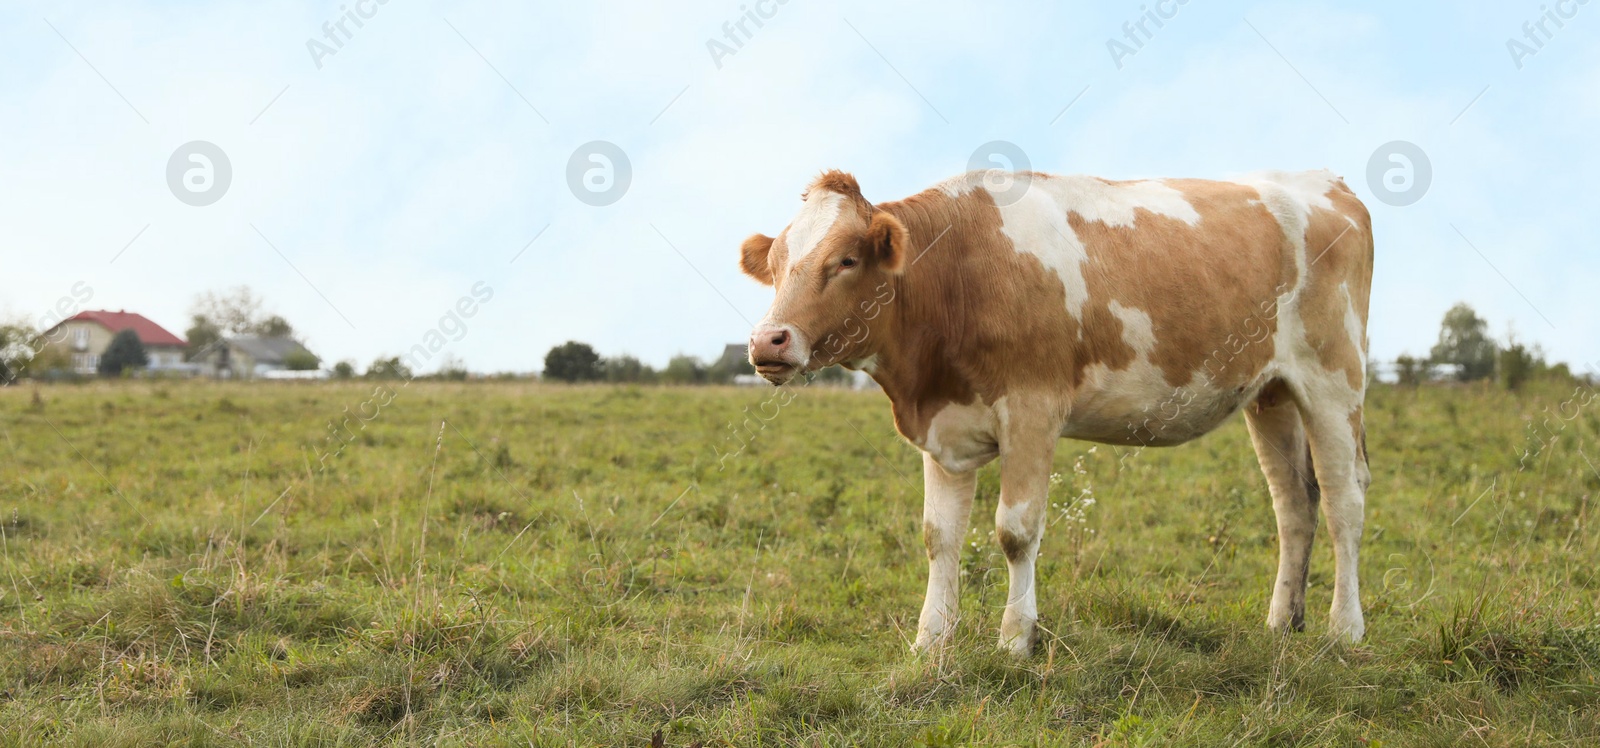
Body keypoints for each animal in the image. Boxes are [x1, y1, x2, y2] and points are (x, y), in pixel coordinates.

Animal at [736, 165, 1376, 655]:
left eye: (846, 259)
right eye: (777, 263)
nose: (769, 340)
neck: (957, 271)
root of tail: (1327, 182)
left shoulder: (1033, 410)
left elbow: (1015, 532)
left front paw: (1016, 639)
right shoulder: (945, 426)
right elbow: (939, 536)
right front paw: (930, 641)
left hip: (1334, 380)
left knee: (1344, 502)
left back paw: (1344, 628)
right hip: (1272, 393)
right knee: (1294, 504)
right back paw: (1282, 622)